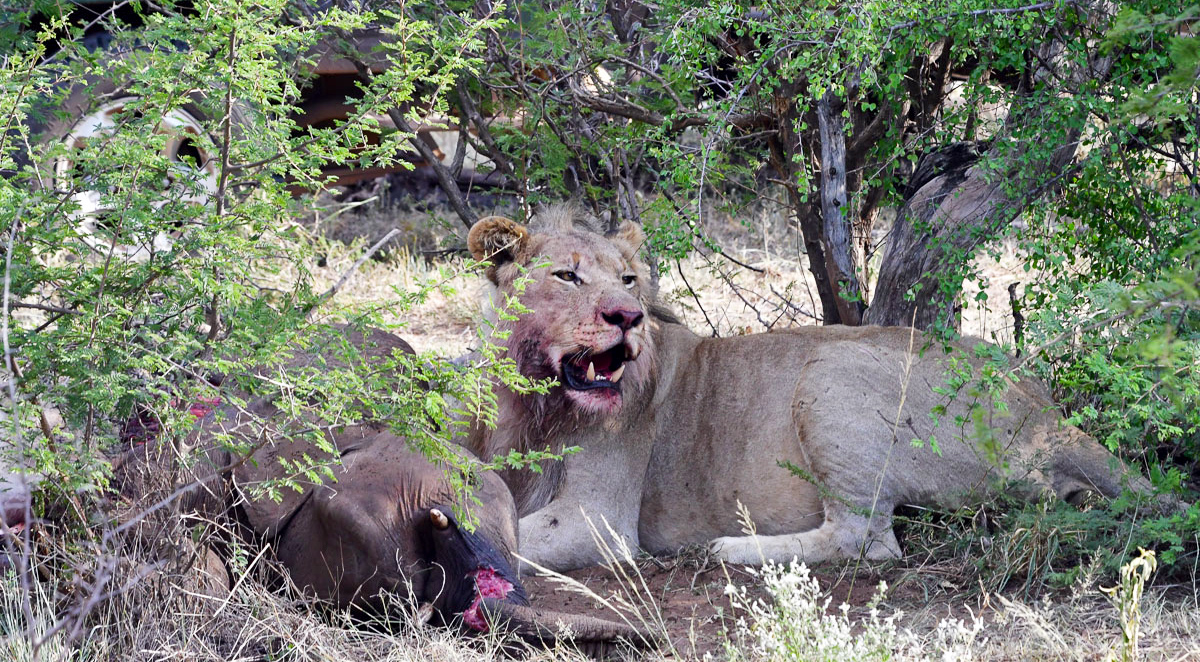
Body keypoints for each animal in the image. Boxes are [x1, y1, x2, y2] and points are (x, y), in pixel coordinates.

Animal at [465, 207, 1173, 571]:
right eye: (567, 277)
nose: (628, 317)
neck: (536, 399)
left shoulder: (601, 521)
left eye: (630, 280)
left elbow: (503, 533)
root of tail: (1046, 415)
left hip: (829, 373)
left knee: (867, 539)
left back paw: (733, 547)